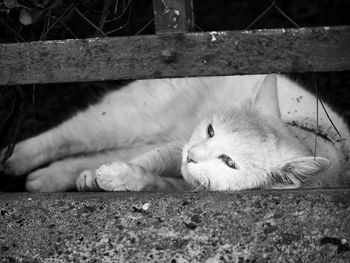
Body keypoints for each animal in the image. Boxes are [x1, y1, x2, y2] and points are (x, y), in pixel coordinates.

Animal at [0, 74, 350, 192]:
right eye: (211, 131)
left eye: (229, 162)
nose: (193, 155)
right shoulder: (177, 146)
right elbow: (150, 161)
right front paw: (113, 175)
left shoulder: (185, 178)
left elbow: (153, 180)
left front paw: (121, 178)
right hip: (132, 117)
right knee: (67, 136)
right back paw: (14, 158)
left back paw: (52, 179)